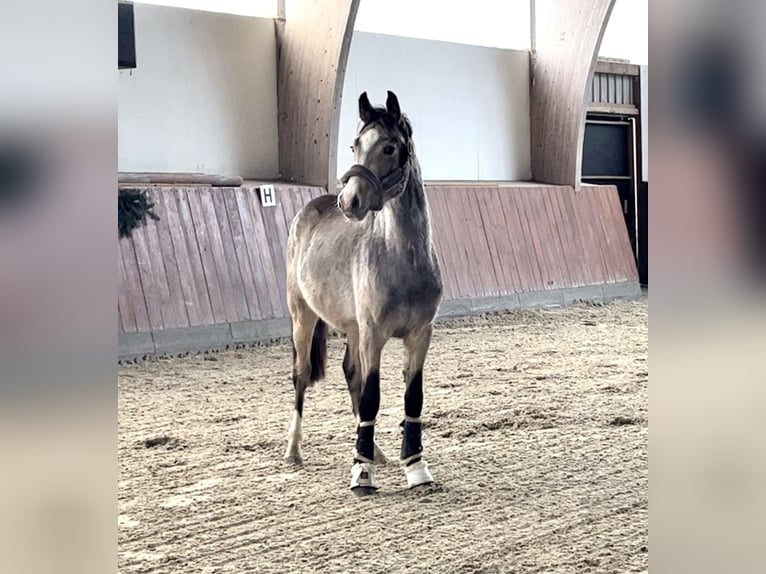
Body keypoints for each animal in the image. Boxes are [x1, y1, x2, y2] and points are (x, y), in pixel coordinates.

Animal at [284, 92, 444, 498]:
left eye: (389, 147)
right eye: (355, 145)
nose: (349, 201)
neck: (402, 258)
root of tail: (310, 209)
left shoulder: (420, 335)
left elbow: (412, 396)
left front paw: (415, 466)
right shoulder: (374, 334)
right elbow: (372, 396)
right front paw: (362, 473)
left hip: (353, 328)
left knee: (350, 373)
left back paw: (376, 451)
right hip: (303, 316)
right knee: (302, 374)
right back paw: (293, 451)